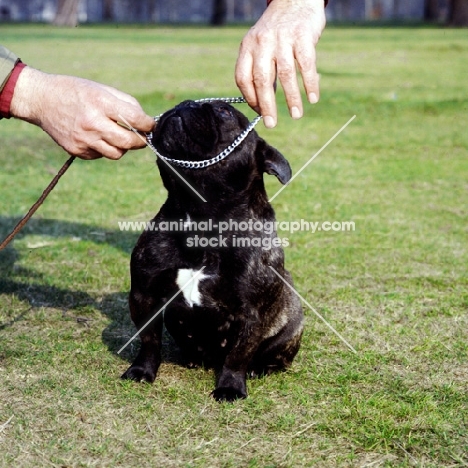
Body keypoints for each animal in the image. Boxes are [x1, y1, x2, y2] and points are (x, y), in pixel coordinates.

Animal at [120, 100, 304, 400]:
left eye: (224, 112)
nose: (186, 103)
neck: (201, 214)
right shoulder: (144, 295)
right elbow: (149, 340)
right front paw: (141, 370)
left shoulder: (251, 314)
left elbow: (238, 354)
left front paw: (230, 387)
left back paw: (260, 369)